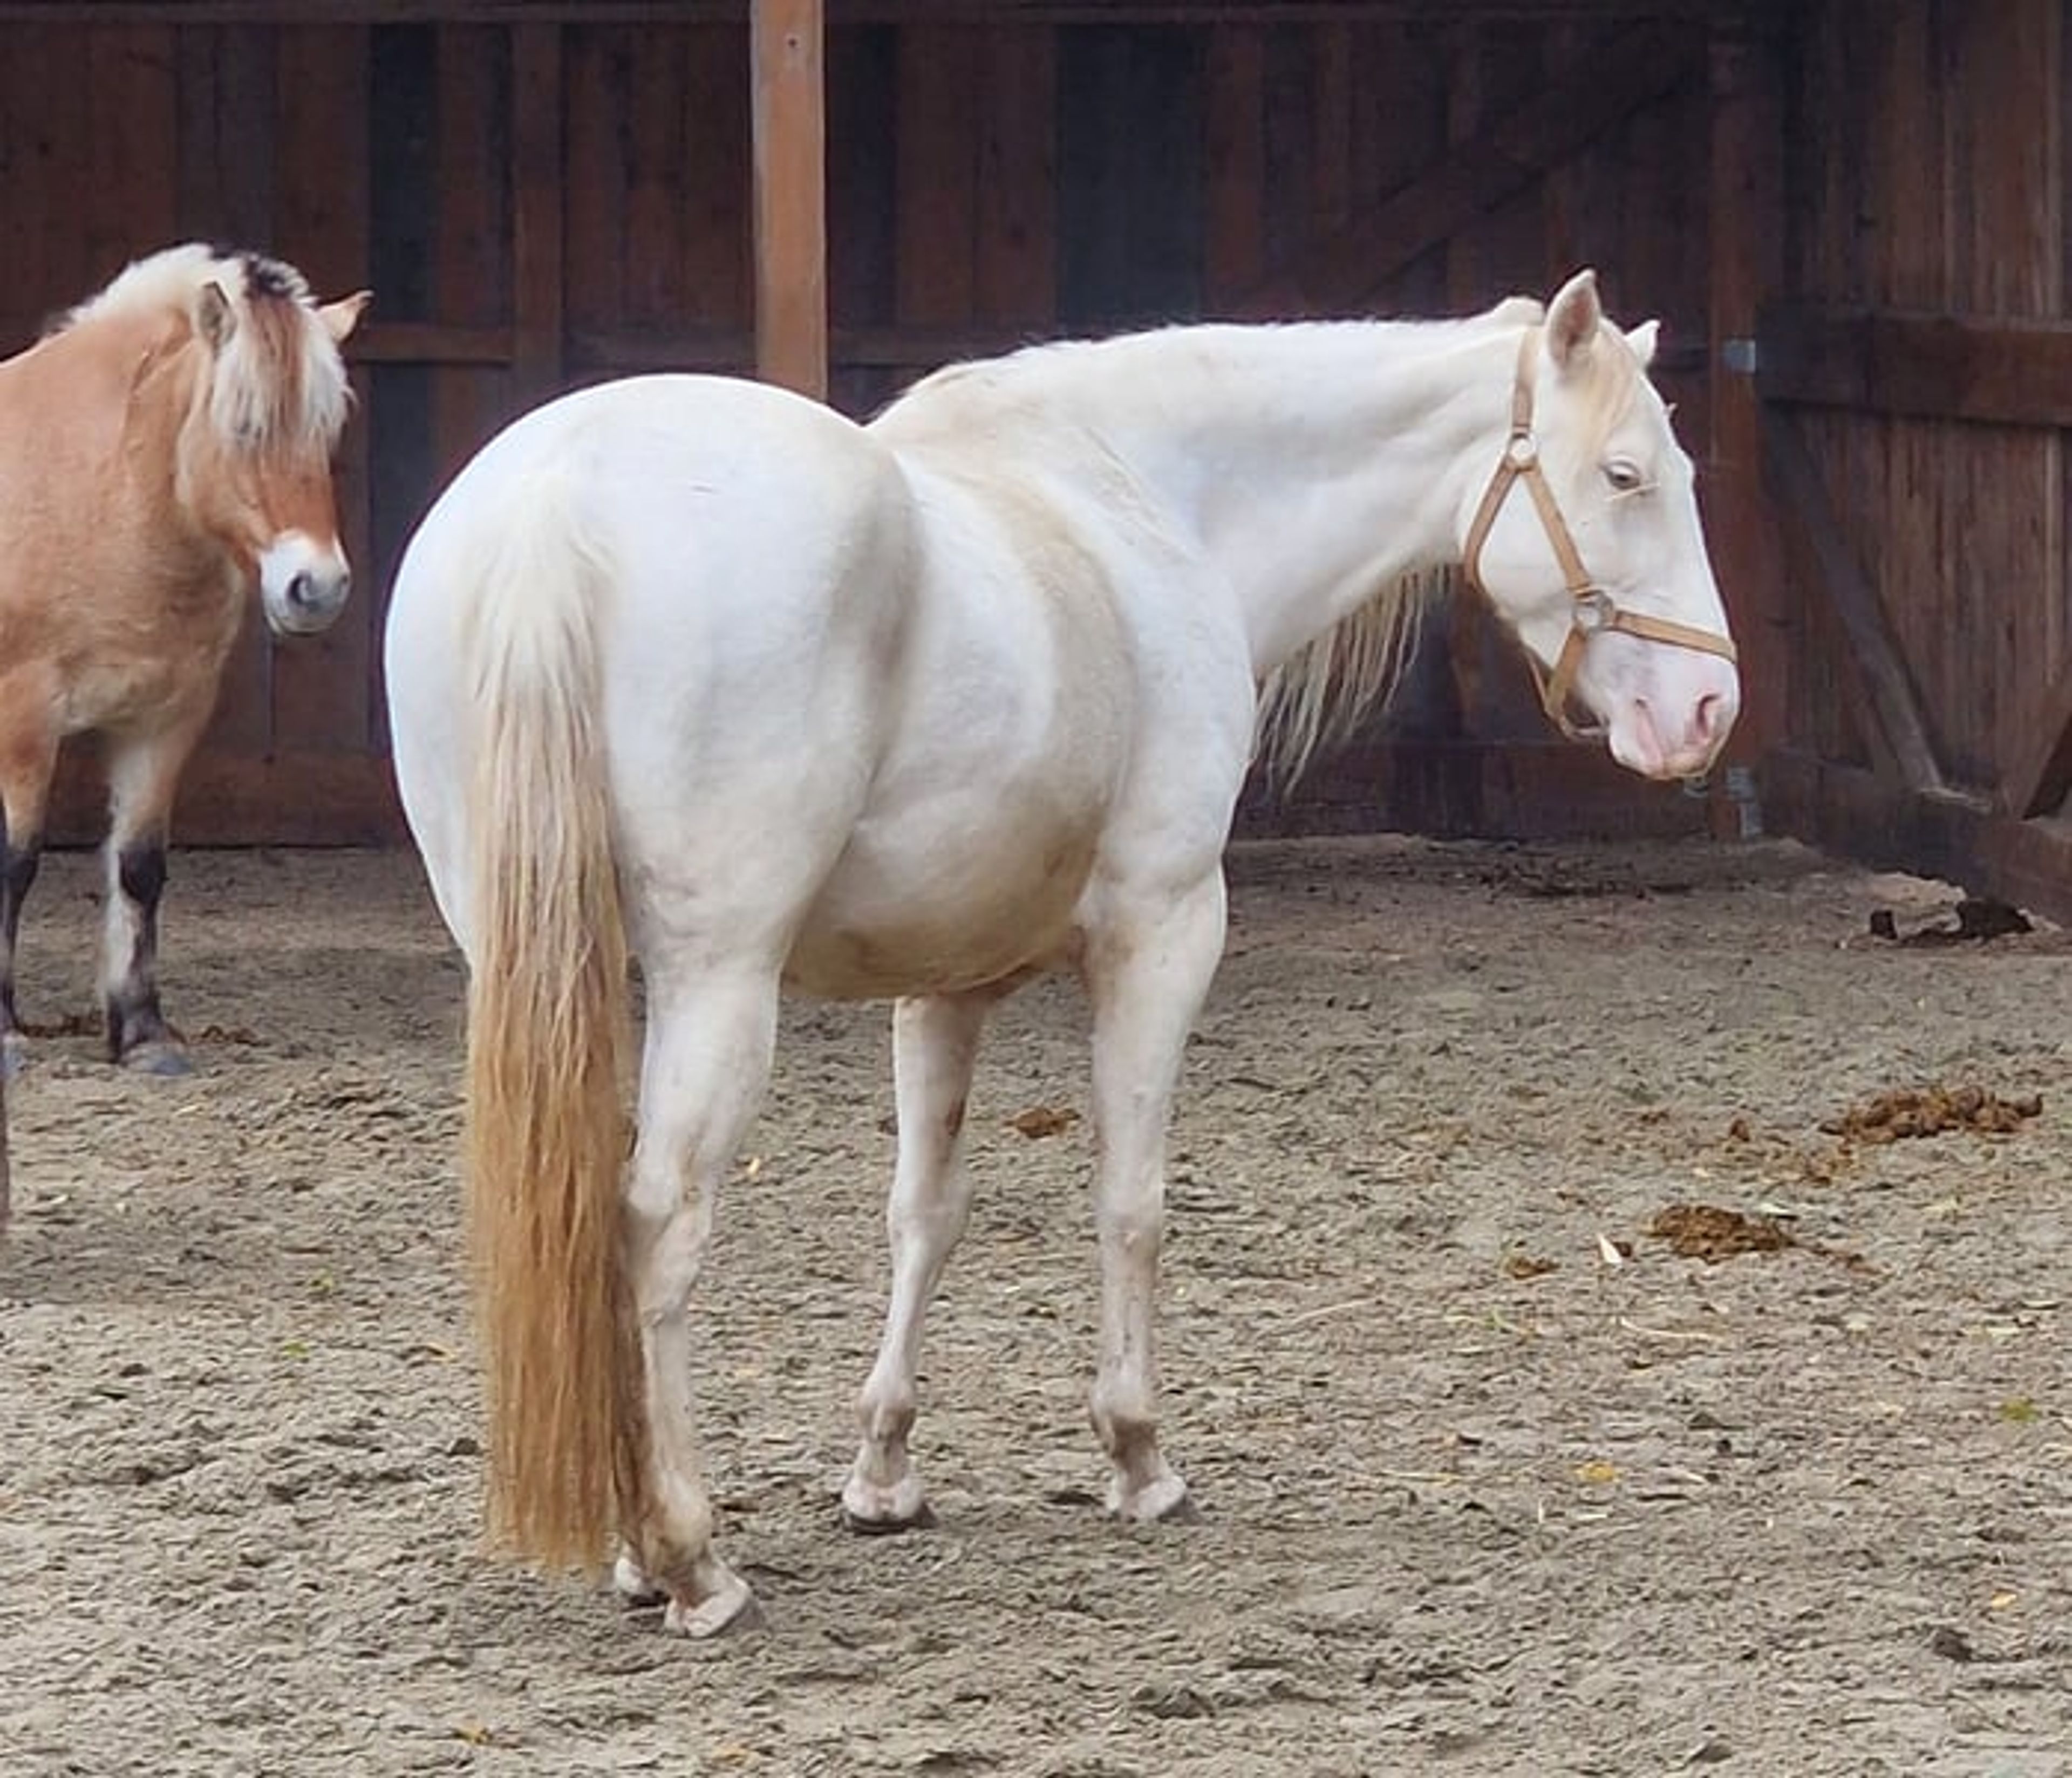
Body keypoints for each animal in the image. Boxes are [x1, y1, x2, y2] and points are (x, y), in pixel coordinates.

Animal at [0, 243, 367, 1084]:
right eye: (243, 424)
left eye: (327, 429)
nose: (316, 587)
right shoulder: (23, 717)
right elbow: (15, 864)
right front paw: (3, 1036)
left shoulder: (164, 721)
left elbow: (140, 868)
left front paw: (143, 1034)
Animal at [384, 269, 1740, 1637]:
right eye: (1625, 474)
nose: (1704, 712)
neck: (1146, 500)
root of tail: (558, 502)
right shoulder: (1166, 929)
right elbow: (1130, 1201)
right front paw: (1138, 1456)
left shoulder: (941, 983)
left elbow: (924, 1212)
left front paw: (884, 1472)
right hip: (718, 982)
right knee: (658, 1222)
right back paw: (688, 1555)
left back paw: (634, 1541)